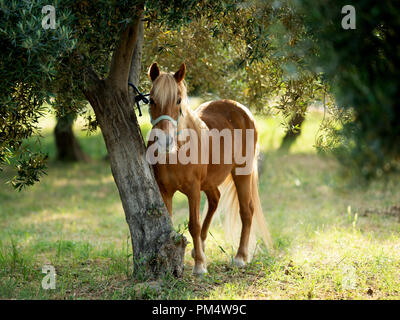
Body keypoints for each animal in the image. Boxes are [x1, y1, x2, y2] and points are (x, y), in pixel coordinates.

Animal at [146, 62, 272, 276]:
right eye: (152, 100)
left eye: (178, 100)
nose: (164, 141)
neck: (178, 151)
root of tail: (242, 109)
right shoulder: (165, 191)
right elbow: (170, 222)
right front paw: (196, 257)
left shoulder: (193, 190)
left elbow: (194, 225)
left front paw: (199, 266)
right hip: (211, 181)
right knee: (215, 199)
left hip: (242, 173)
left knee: (247, 211)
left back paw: (240, 257)